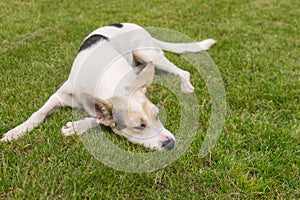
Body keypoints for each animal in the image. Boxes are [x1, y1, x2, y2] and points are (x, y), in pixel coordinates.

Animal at [0, 22, 216, 150]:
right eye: (139, 126)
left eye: (157, 115)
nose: (171, 144)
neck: (111, 81)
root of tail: (140, 27)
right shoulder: (59, 96)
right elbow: (37, 115)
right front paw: (16, 132)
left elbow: (99, 119)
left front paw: (76, 126)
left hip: (146, 53)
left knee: (183, 71)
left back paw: (186, 86)